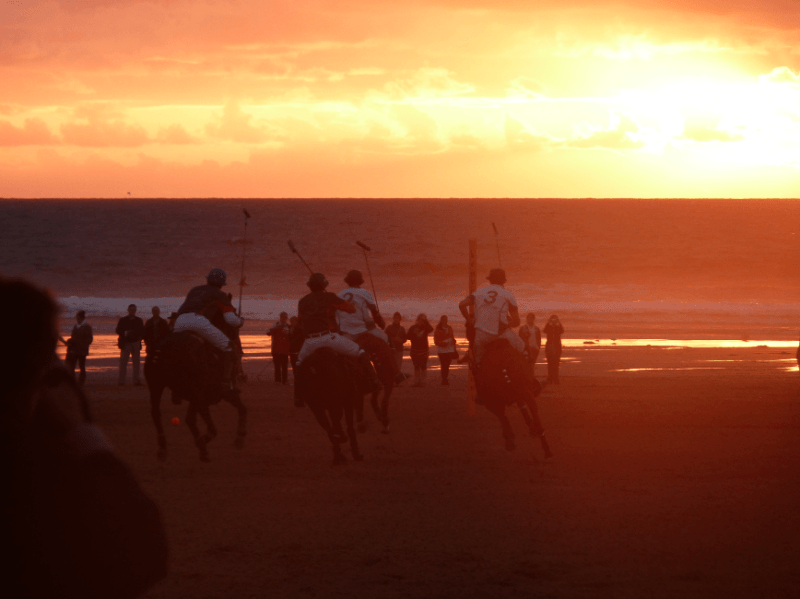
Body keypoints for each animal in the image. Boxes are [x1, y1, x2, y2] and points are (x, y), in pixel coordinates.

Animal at [142, 330, 245, 462]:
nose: (240, 351)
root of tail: (165, 347)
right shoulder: (220, 394)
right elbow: (241, 409)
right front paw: (239, 438)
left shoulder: (201, 400)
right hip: (197, 391)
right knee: (192, 419)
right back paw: (202, 447)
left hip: (156, 386)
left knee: (156, 413)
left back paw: (163, 447)